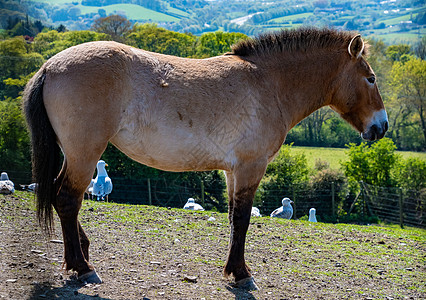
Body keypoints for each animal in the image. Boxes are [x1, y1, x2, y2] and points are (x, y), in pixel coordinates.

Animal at [24, 27, 390, 288]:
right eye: (371, 78)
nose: (382, 126)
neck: (268, 84)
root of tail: (50, 66)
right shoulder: (251, 167)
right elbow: (242, 219)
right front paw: (242, 275)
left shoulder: (232, 171)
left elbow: (232, 218)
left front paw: (232, 270)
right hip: (85, 153)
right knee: (68, 199)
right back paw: (83, 267)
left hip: (74, 154)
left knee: (60, 196)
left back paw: (80, 255)